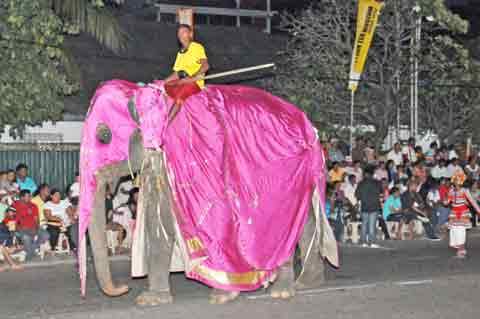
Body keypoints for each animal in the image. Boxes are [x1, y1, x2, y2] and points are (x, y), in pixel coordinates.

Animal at [79, 79, 338, 306]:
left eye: (104, 136)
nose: (124, 288)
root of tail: (310, 126)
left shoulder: (197, 158)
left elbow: (217, 212)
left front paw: (222, 295)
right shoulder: (161, 162)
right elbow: (159, 221)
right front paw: (152, 300)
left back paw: (282, 292)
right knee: (306, 221)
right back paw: (307, 283)